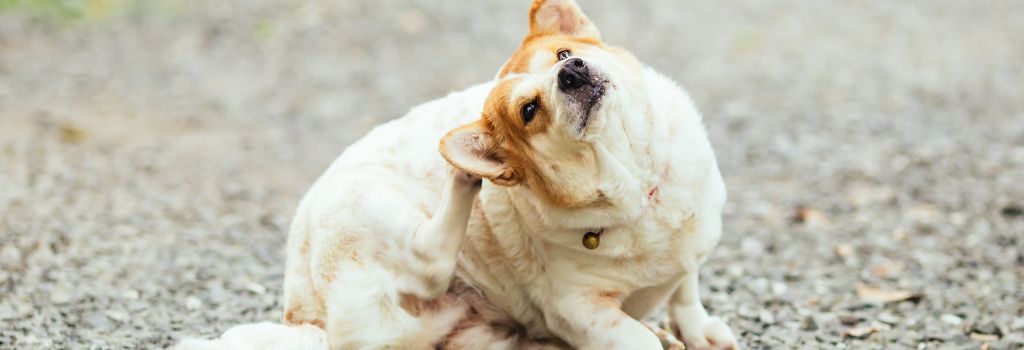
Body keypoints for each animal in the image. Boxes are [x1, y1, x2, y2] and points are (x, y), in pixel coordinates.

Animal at [176, 0, 737, 350]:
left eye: (562, 53)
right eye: (529, 110)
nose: (571, 70)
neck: (641, 188)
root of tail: (304, 316)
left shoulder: (687, 253)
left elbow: (685, 288)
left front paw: (696, 328)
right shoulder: (578, 310)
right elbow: (635, 335)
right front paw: (661, 338)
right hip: (367, 207)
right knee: (429, 260)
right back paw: (461, 179)